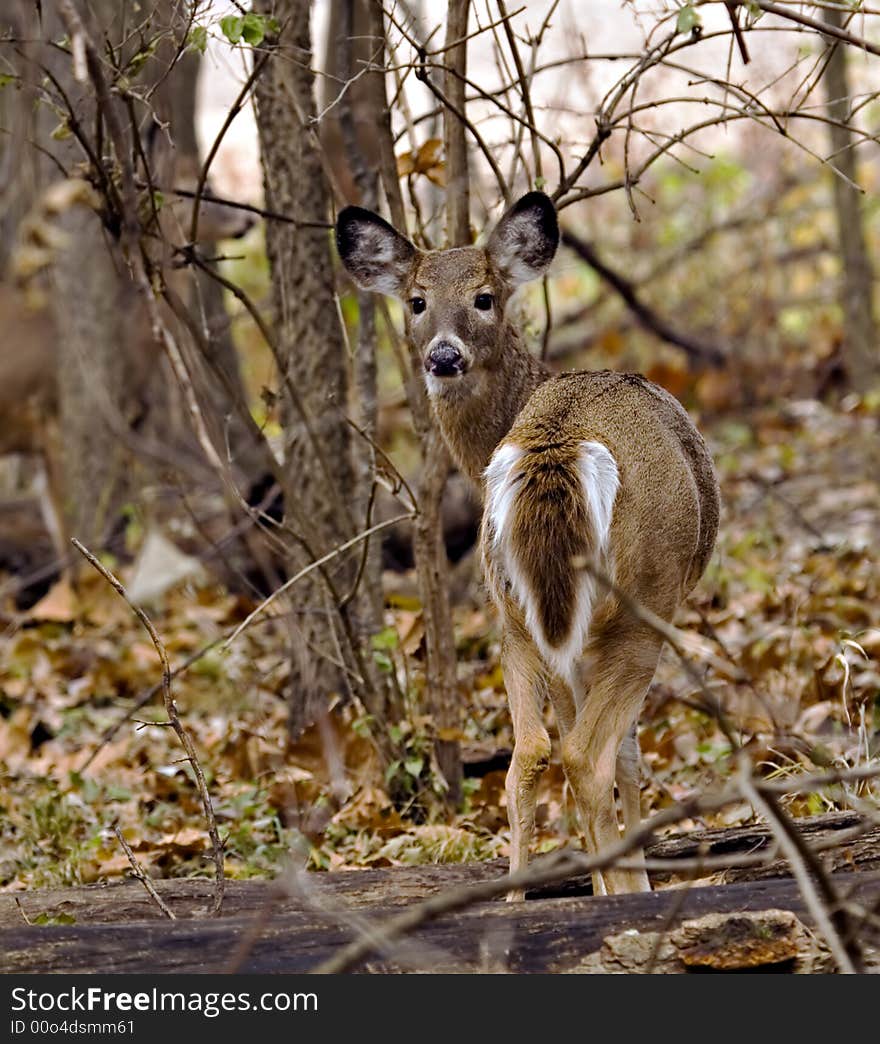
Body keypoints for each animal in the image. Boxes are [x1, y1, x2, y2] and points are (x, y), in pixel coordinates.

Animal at [334, 190, 718, 897]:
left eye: (484, 297)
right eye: (417, 301)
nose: (444, 356)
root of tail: (556, 445)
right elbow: (626, 757)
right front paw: (630, 882)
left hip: (515, 609)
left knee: (532, 752)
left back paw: (517, 897)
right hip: (642, 600)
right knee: (588, 755)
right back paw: (618, 895)